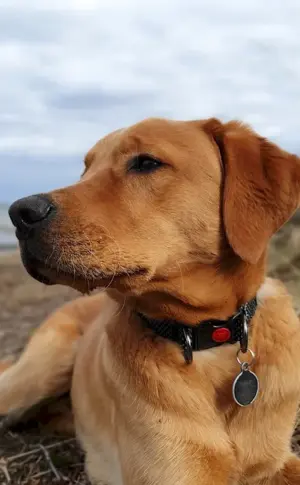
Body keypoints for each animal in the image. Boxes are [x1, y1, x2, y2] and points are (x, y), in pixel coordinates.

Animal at [1, 118, 300, 484]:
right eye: (85, 170)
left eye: (146, 163)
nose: (20, 213)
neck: (208, 337)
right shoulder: (174, 474)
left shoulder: (275, 460)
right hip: (38, 373)